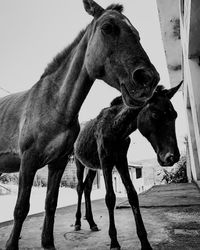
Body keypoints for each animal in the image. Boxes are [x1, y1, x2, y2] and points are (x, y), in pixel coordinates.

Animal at [0, 0, 159, 249]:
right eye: (107, 27)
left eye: (137, 34)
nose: (148, 79)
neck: (54, 104)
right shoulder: (28, 160)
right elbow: (21, 208)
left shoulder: (58, 162)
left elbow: (51, 204)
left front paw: (48, 242)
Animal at [74, 82, 183, 250]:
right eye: (155, 114)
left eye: (175, 115)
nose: (172, 157)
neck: (115, 128)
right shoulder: (106, 161)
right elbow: (110, 198)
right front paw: (114, 242)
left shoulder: (121, 160)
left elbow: (132, 195)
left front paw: (145, 242)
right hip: (79, 163)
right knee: (80, 187)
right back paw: (78, 222)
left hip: (93, 167)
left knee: (87, 188)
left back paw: (91, 222)